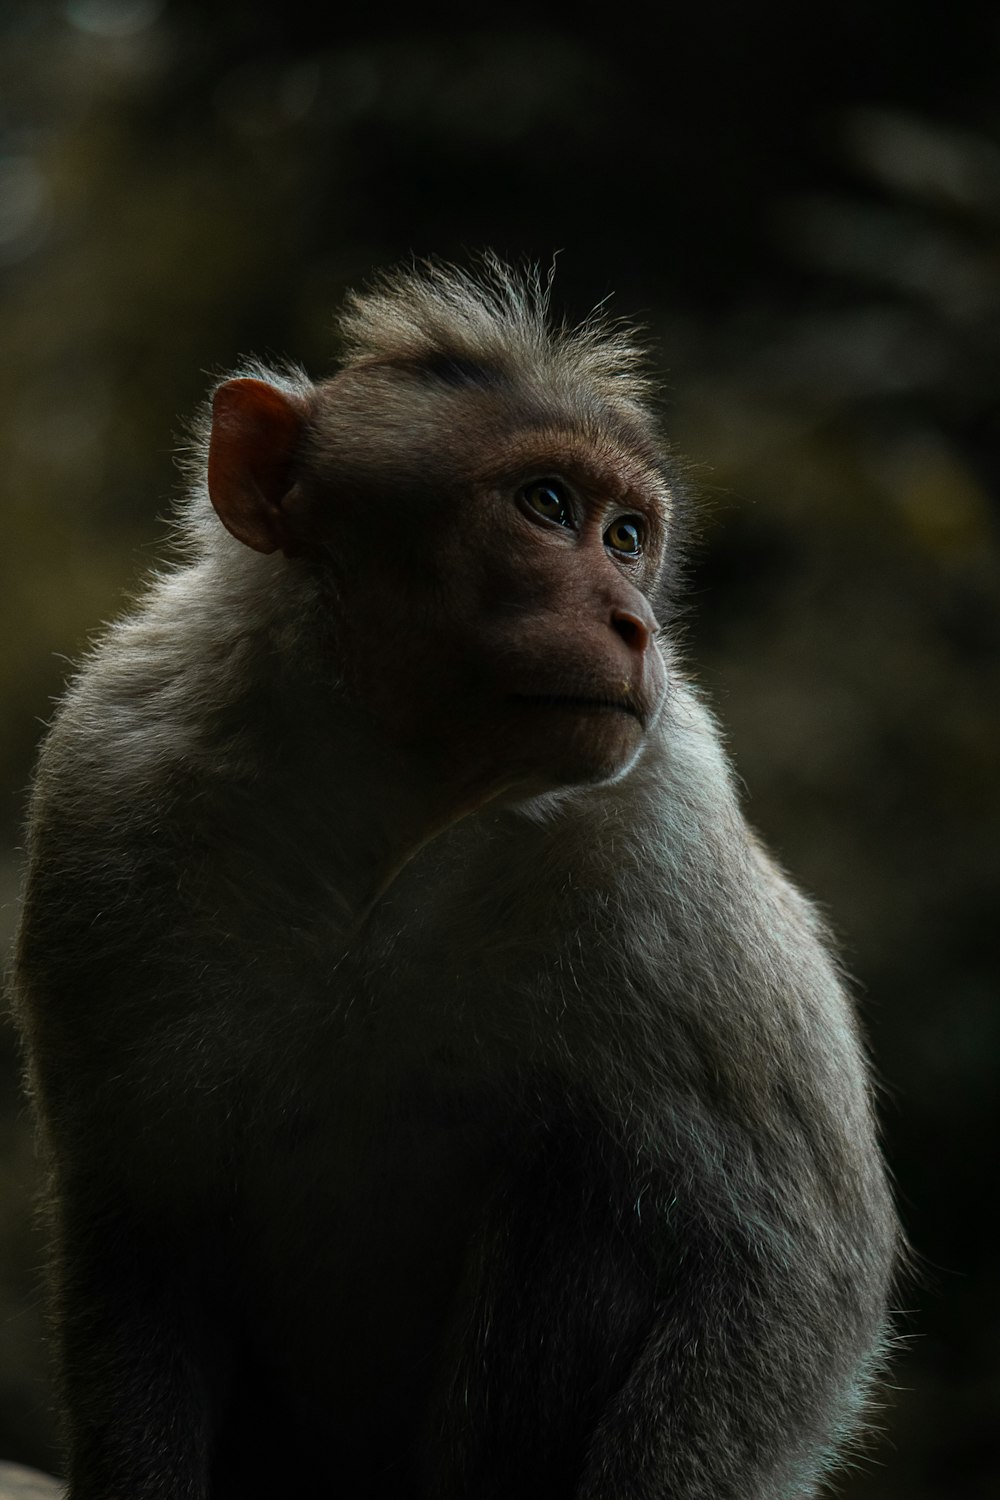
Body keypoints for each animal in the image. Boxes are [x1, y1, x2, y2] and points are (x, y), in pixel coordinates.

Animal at [9, 264, 899, 1494]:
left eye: (629, 534)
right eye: (547, 506)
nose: (634, 625)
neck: (383, 813)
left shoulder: (665, 832)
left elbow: (790, 1270)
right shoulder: (104, 787)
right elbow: (137, 1226)